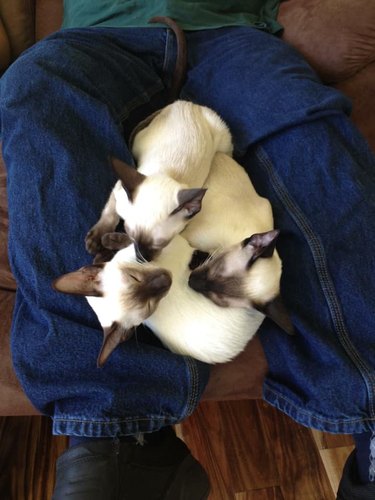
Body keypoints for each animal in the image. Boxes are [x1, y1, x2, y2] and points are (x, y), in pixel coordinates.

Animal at [86, 100, 232, 260]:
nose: (141, 258)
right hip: (137, 144)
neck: (167, 175)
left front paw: (107, 247)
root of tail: (188, 103)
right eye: (132, 235)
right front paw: (96, 241)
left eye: (160, 245)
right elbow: (110, 215)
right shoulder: (120, 191)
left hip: (225, 147)